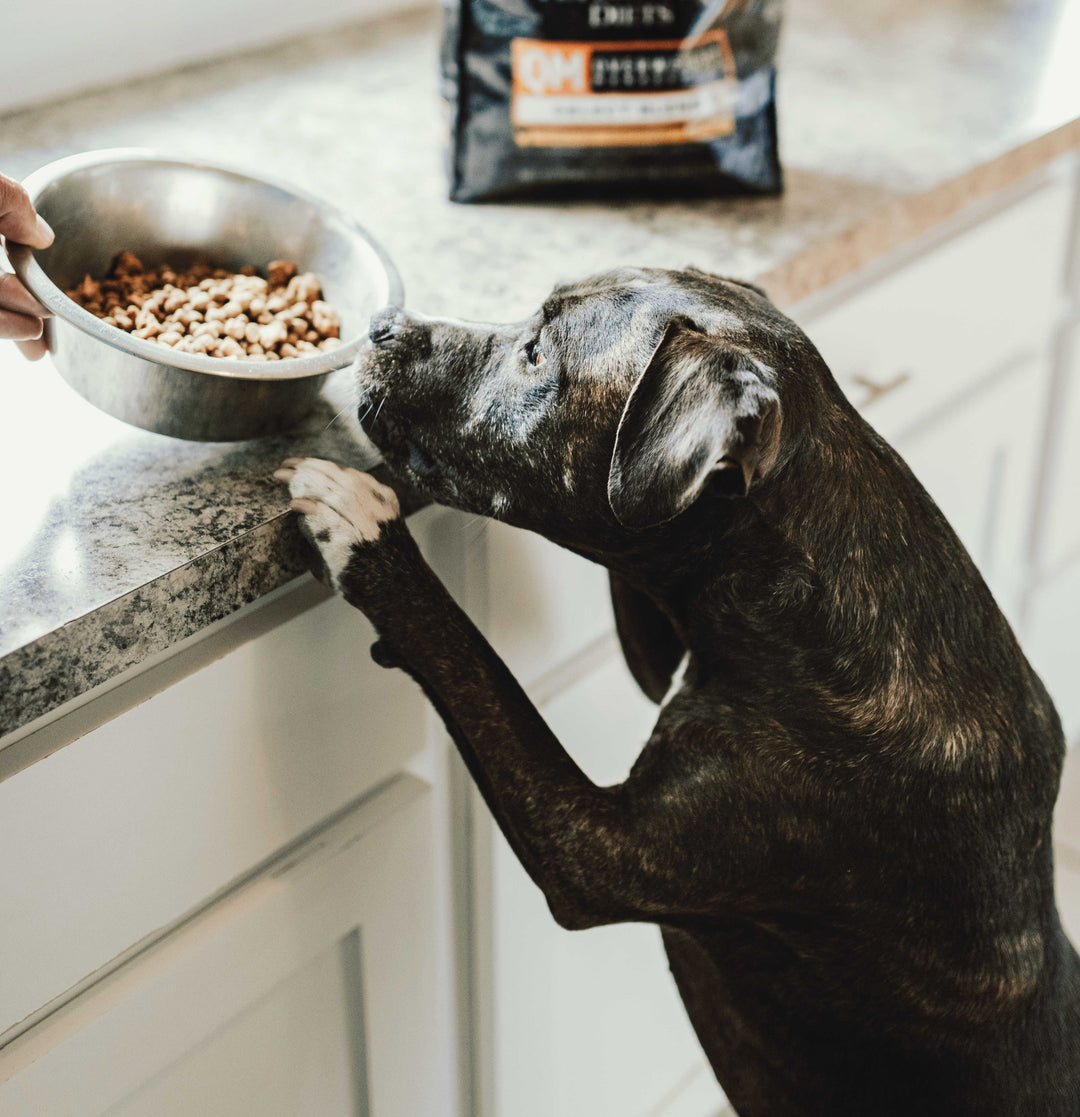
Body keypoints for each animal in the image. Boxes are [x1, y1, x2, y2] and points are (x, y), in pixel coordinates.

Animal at [272, 265, 1080, 1112]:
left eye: (535, 354)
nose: (382, 326)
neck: (811, 593)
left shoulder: (598, 850)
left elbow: (469, 659)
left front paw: (364, 533)